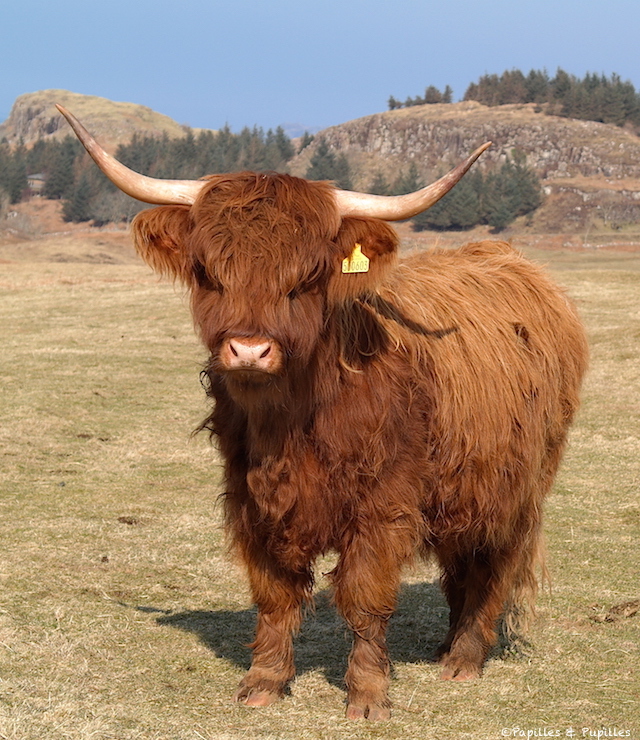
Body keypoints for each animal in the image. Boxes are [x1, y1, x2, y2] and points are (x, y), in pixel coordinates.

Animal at [58, 105, 588, 720]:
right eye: (209, 272)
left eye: (307, 277)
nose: (249, 350)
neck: (291, 424)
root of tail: (508, 259)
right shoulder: (251, 500)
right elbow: (274, 595)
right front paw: (264, 682)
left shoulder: (384, 506)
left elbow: (365, 598)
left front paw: (368, 695)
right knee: (460, 561)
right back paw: (445, 644)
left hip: (518, 487)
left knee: (492, 565)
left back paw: (464, 658)